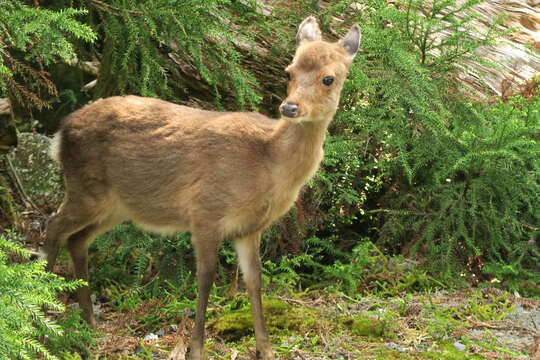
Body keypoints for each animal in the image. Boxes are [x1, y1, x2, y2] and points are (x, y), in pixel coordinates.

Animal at [42, 16, 360, 360]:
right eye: (289, 71)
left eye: (328, 78)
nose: (290, 108)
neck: (268, 163)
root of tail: (61, 132)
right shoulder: (206, 210)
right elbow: (206, 278)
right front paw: (196, 348)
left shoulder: (249, 228)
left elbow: (254, 279)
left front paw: (265, 348)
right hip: (85, 188)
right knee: (53, 227)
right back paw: (44, 316)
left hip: (114, 205)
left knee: (77, 240)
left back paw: (89, 323)